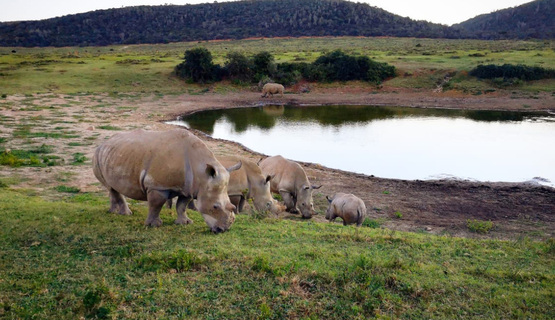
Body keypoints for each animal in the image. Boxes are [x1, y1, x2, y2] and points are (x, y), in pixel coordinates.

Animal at [93, 129, 241, 234]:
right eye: (215, 207)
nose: (223, 230)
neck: (201, 175)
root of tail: (104, 143)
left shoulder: (189, 188)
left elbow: (181, 205)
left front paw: (185, 223)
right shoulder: (157, 186)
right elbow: (156, 204)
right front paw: (154, 225)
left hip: (114, 155)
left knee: (112, 187)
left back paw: (113, 212)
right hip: (97, 155)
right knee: (110, 186)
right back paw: (125, 214)